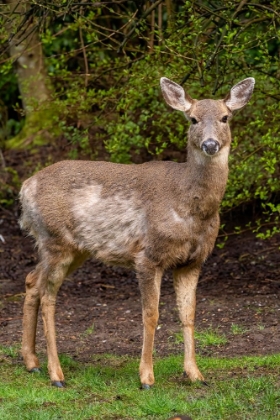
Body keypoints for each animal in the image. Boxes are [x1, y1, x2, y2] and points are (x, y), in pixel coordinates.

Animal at [19, 75, 255, 388]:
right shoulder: (148, 256)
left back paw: (32, 362)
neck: (190, 208)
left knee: (32, 280)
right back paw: (56, 374)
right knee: (48, 295)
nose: (210, 144)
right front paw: (146, 377)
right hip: (55, 240)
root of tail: (24, 189)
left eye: (225, 117)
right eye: (192, 119)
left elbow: (189, 314)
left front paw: (195, 374)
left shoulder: (193, 261)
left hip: (73, 249)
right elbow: (151, 315)